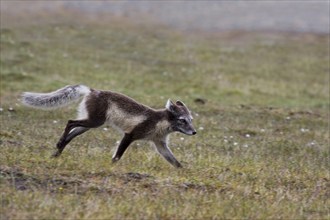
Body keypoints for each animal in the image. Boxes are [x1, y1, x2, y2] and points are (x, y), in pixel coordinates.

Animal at [21, 85, 196, 168]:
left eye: (191, 119)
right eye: (183, 120)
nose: (194, 132)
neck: (160, 123)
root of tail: (92, 90)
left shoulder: (159, 143)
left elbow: (175, 162)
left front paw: (185, 172)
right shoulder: (130, 135)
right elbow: (117, 155)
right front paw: (111, 166)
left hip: (90, 124)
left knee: (71, 133)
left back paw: (57, 151)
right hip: (94, 122)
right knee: (70, 122)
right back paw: (58, 145)